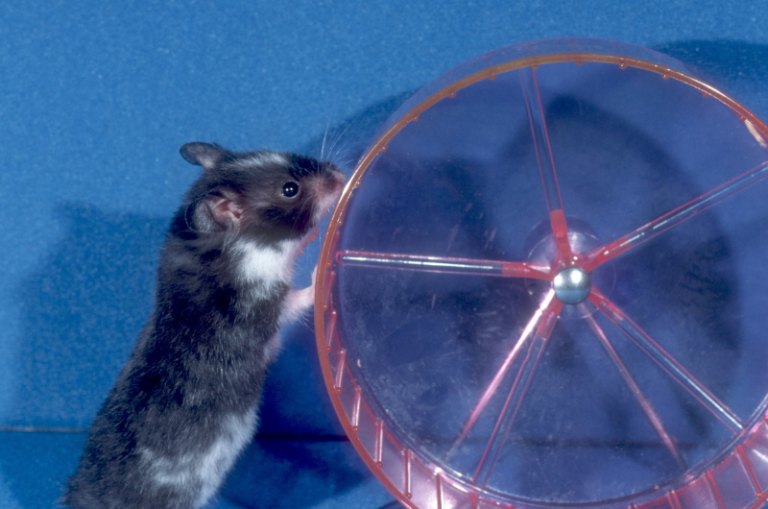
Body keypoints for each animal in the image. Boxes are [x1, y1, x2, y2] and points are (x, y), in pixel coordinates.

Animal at [63, 142, 345, 509]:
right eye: (289, 189)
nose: (340, 174)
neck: (230, 243)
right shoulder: (262, 303)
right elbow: (295, 300)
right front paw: (320, 272)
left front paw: (310, 240)